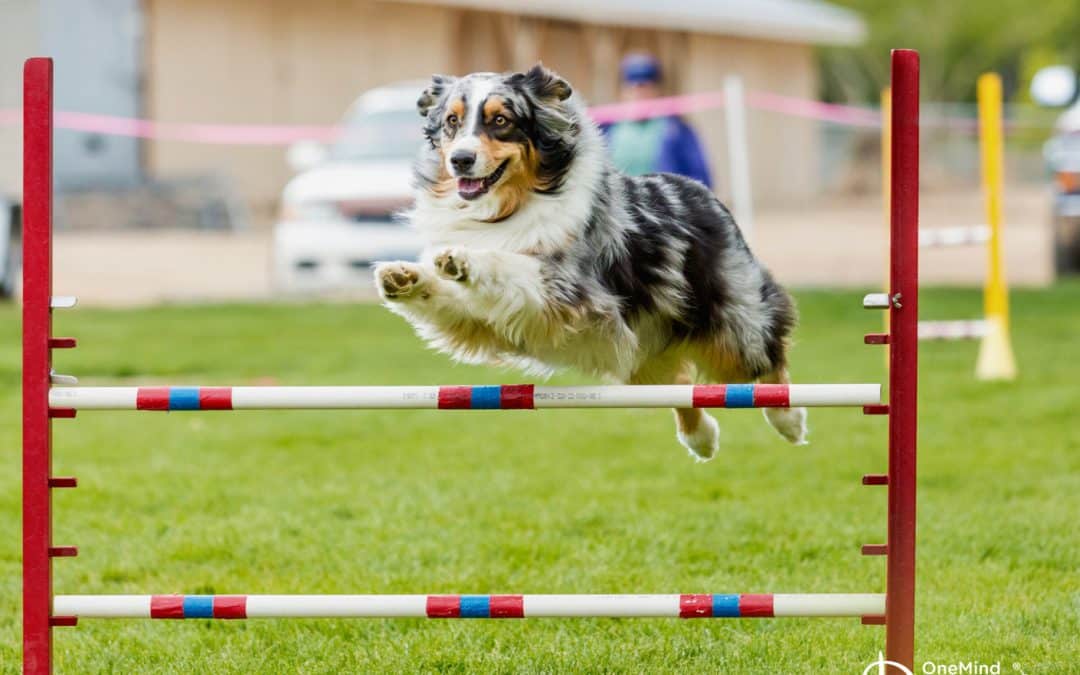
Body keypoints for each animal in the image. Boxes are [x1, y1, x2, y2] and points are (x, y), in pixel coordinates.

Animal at [375, 65, 807, 460]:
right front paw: (404, 277)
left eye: (501, 121)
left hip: (733, 324)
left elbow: (510, 262)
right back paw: (701, 439)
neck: (505, 206)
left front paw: (464, 259)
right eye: (452, 121)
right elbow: (447, 297)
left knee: (765, 359)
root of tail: (703, 192)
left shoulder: (568, 290)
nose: (461, 160)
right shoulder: (483, 321)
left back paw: (789, 419)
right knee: (683, 384)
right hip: (643, 353)